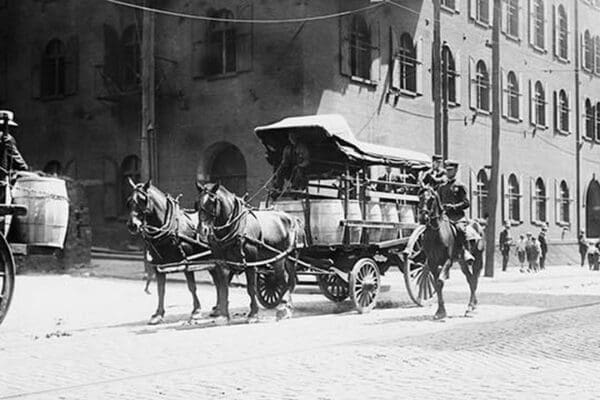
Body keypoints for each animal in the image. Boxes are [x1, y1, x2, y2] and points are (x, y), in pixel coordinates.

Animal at [125, 180, 214, 324]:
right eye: (128, 201)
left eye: (143, 200)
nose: (132, 225)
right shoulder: (159, 265)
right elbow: (160, 289)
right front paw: (158, 314)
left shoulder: (187, 262)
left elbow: (191, 286)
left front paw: (196, 311)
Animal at [195, 181, 302, 322]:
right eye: (198, 202)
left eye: (212, 202)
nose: (202, 230)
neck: (235, 227)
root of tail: (292, 217)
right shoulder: (221, 263)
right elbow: (223, 287)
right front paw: (223, 314)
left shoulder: (250, 262)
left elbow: (251, 288)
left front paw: (253, 314)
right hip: (277, 258)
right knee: (282, 282)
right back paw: (283, 306)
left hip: (289, 257)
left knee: (289, 282)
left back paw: (285, 307)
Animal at [418, 186, 488, 320]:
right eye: (420, 197)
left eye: (431, 198)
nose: (423, 217)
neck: (436, 233)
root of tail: (478, 225)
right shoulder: (432, 263)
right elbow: (437, 285)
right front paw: (440, 311)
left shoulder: (448, 261)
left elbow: (440, 282)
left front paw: (442, 312)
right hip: (462, 262)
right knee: (470, 279)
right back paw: (473, 305)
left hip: (478, 259)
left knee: (474, 280)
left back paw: (470, 308)